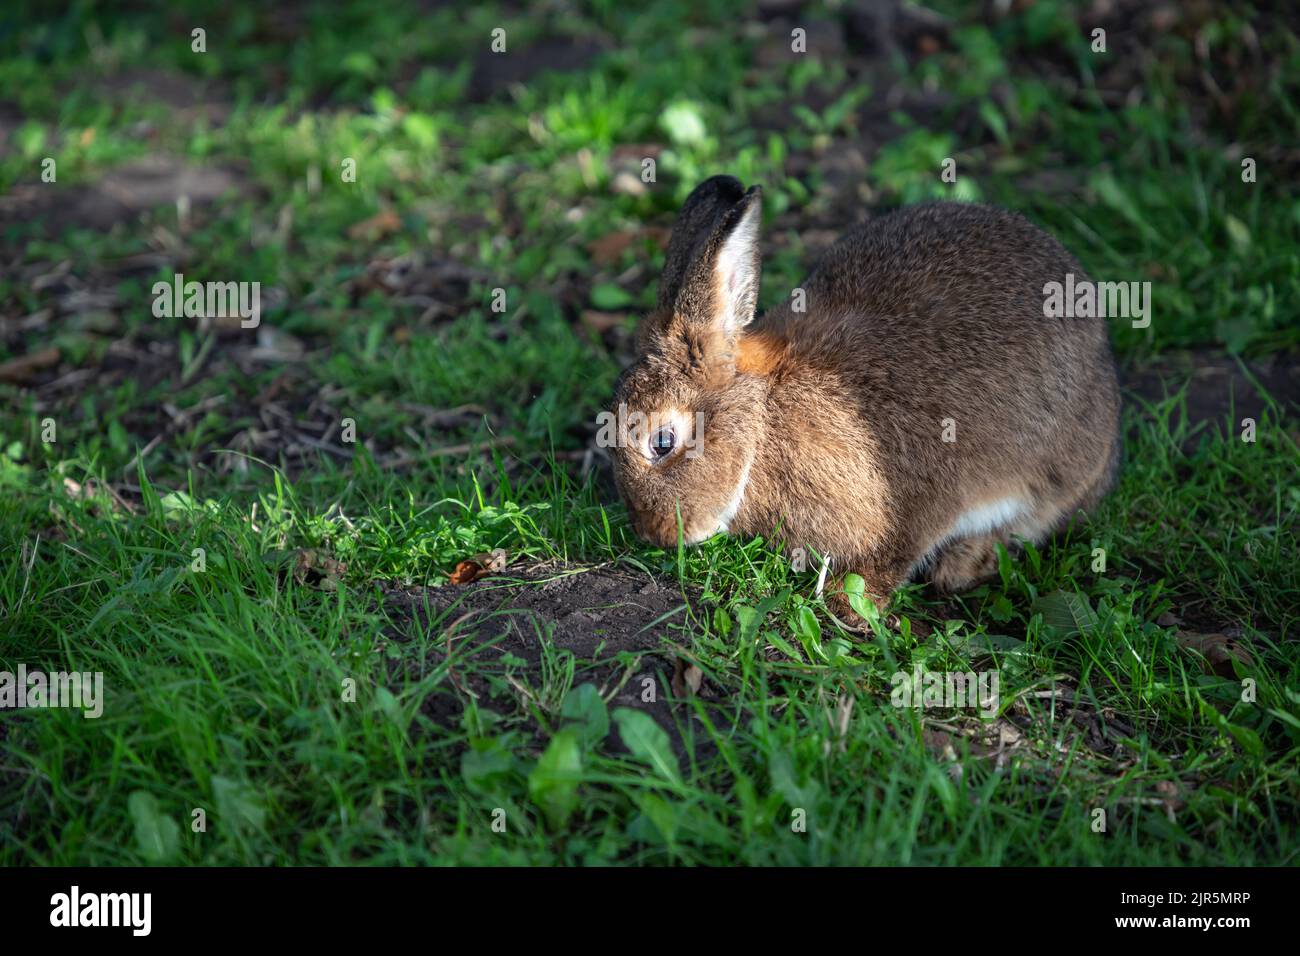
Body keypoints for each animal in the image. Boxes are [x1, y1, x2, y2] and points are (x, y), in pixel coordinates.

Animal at [603, 175, 1123, 616]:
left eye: (662, 442)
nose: (654, 533)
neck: (763, 419)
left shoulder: (911, 504)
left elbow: (890, 558)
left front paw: (847, 606)